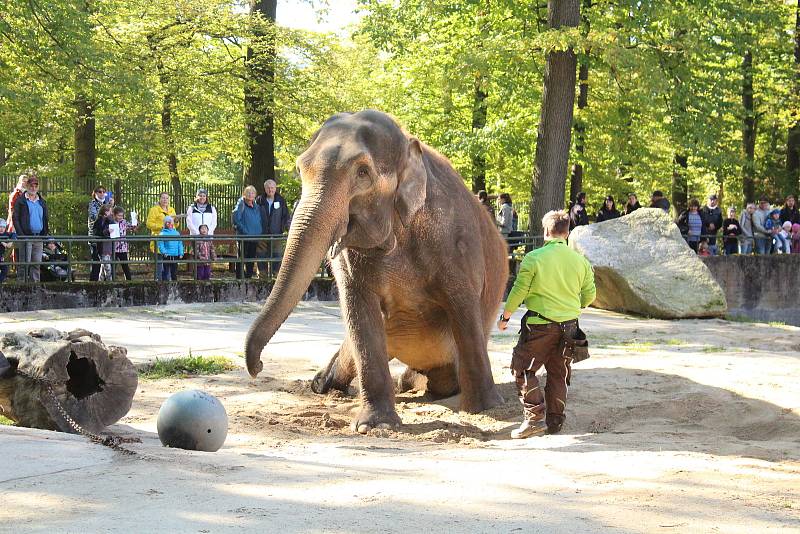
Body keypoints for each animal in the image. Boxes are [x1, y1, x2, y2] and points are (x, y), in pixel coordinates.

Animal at [245, 110, 506, 436]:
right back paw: (327, 384)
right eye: (300, 168)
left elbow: (462, 306)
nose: (257, 368)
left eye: (362, 173)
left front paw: (486, 409)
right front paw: (374, 425)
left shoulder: (455, 241)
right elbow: (360, 311)